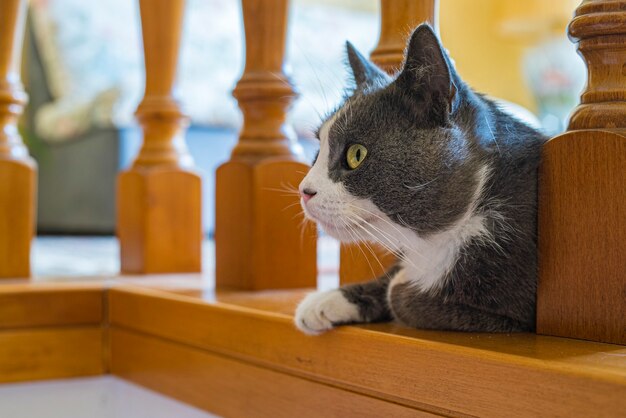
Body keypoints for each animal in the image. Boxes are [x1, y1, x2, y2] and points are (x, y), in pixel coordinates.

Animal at [294, 25, 544, 334]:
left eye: (356, 154)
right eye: (318, 151)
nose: (304, 191)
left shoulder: (518, 312)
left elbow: (399, 295)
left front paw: (401, 284)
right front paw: (324, 301)